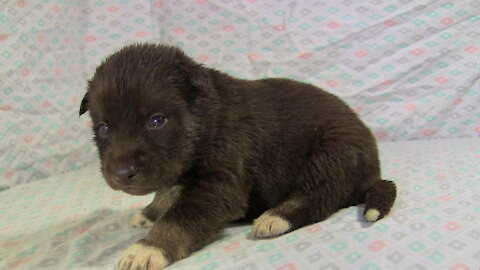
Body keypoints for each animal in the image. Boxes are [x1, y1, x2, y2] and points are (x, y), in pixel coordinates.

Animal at [79, 43, 394, 268]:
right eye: (103, 128)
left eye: (157, 121)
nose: (122, 174)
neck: (206, 119)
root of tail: (373, 171)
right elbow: (169, 193)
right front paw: (150, 212)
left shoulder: (219, 182)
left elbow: (180, 217)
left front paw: (148, 249)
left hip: (332, 153)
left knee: (319, 196)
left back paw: (275, 217)